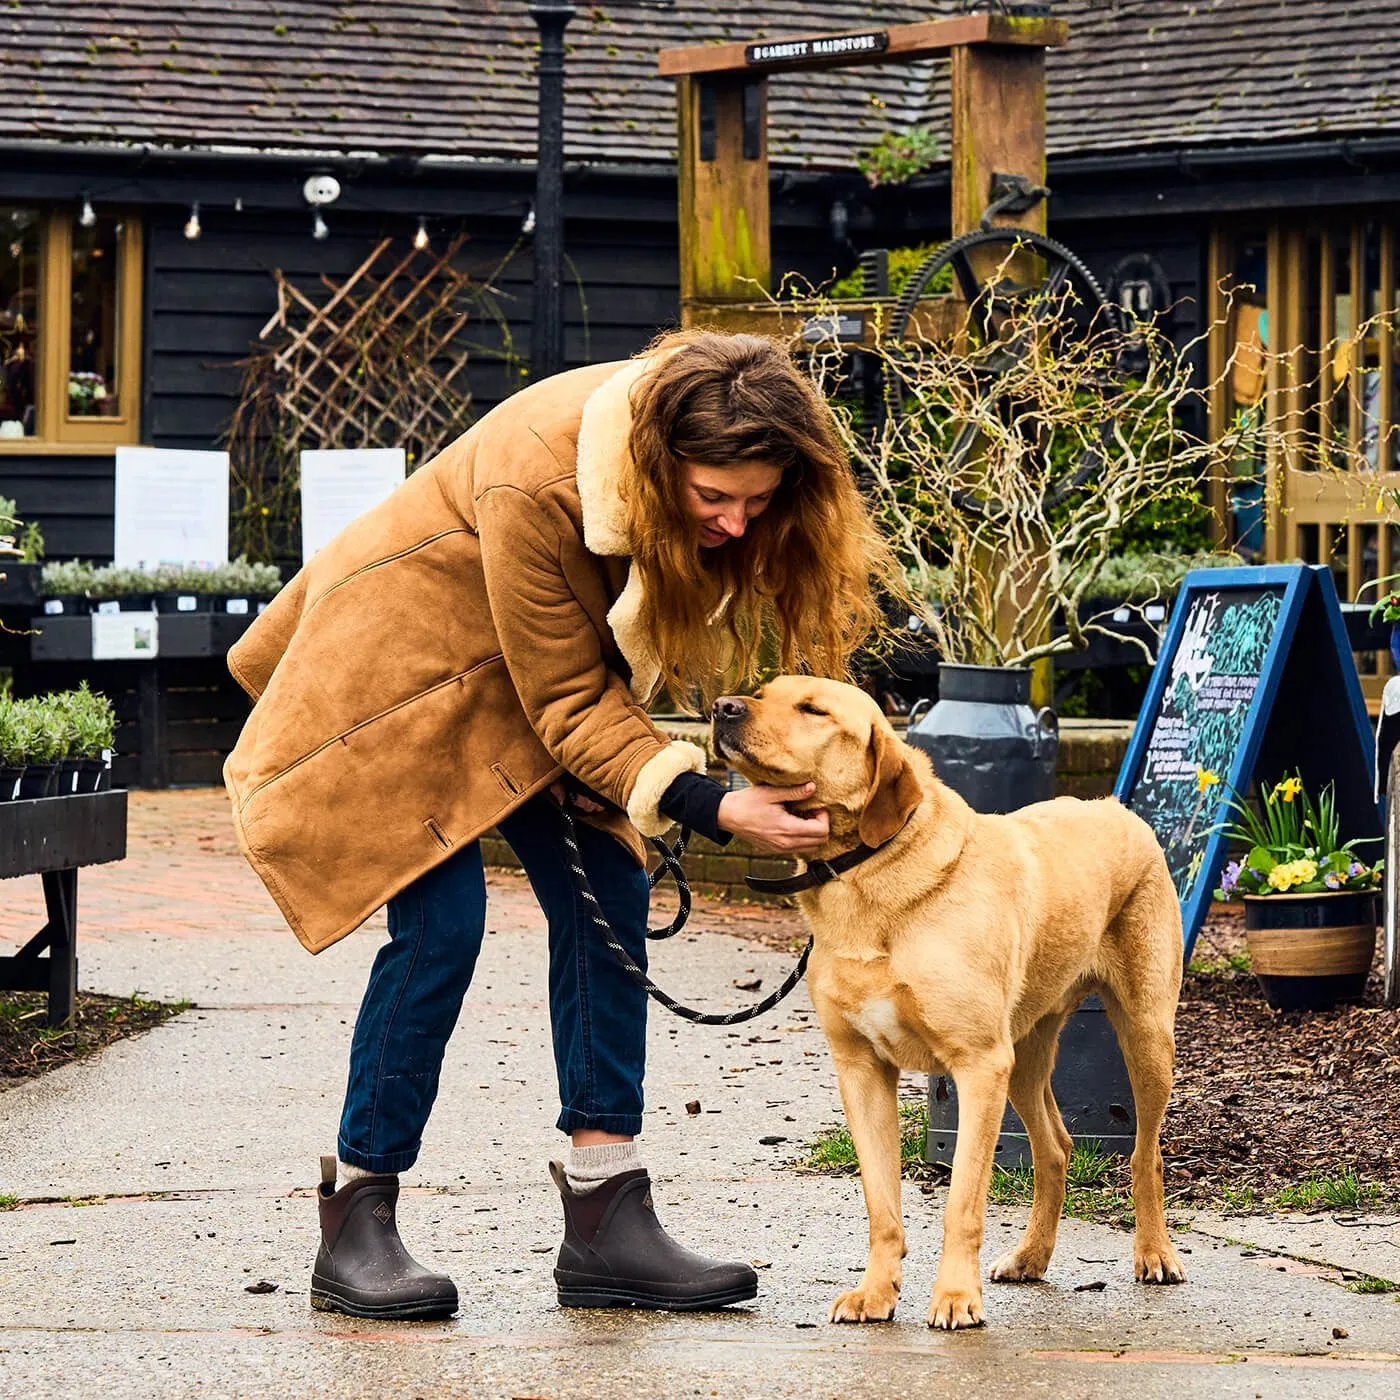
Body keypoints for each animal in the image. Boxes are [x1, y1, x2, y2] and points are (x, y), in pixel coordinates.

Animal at [711, 677, 1181, 1332]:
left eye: (813, 710)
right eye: (763, 690)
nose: (722, 708)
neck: (866, 875)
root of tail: (1115, 807)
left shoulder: (978, 1065)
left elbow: (962, 1201)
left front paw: (956, 1297)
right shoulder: (862, 1070)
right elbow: (882, 1204)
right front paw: (876, 1293)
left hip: (1143, 1035)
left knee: (1146, 1154)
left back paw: (1155, 1253)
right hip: (1026, 1055)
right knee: (1056, 1148)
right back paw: (1032, 1256)